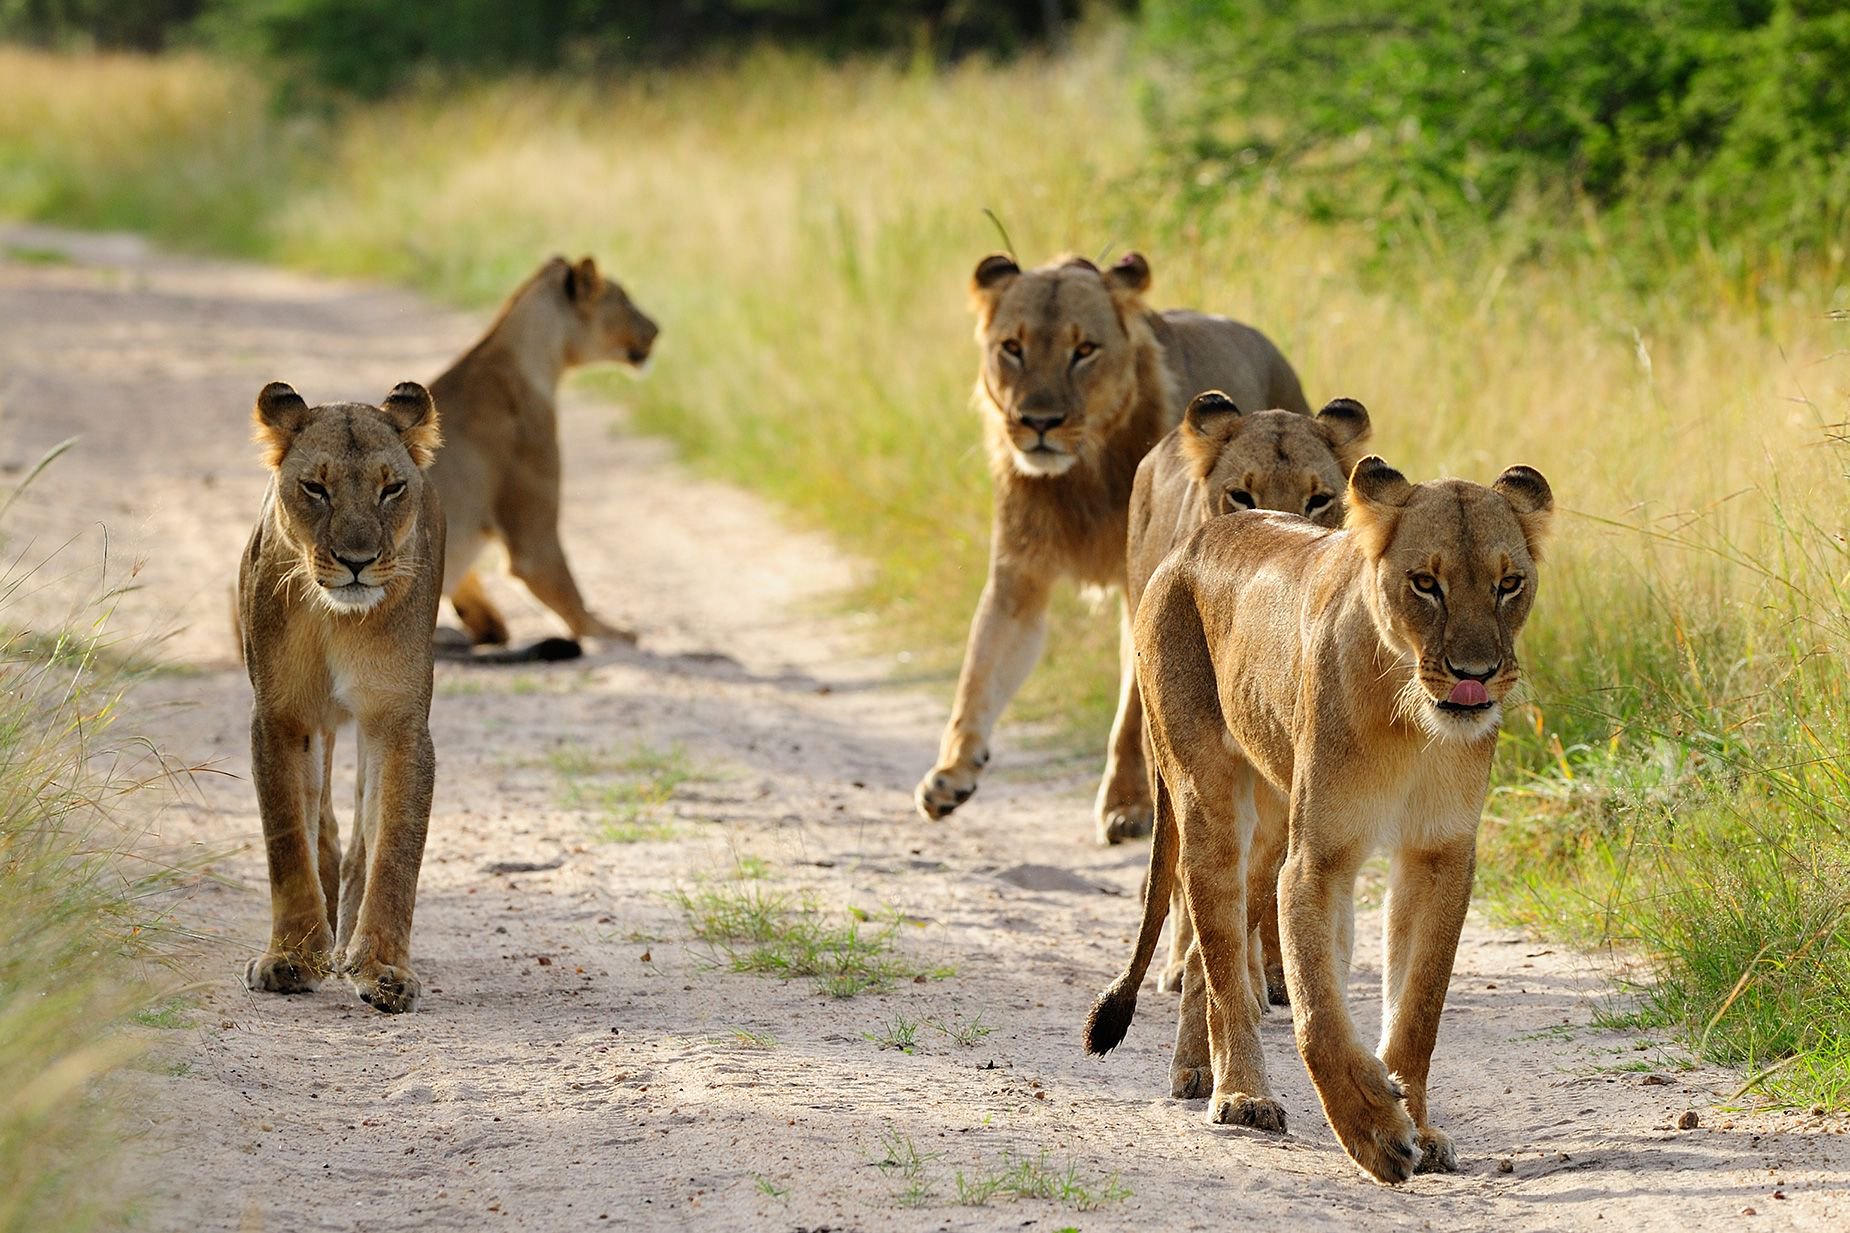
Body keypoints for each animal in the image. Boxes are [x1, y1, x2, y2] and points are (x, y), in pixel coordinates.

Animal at [238, 380, 445, 1014]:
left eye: (391, 488)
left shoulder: (398, 720)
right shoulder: (281, 716)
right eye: (315, 488)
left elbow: (396, 847)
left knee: (359, 841)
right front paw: (292, 956)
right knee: (323, 825)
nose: (357, 563)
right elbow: (287, 837)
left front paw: (381, 967)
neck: (338, 618)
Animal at [428, 255, 658, 658]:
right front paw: (609, 631)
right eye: (625, 300)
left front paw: (488, 623)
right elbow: (561, 583)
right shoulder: (534, 526)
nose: (657, 330)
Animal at [915, 251, 1309, 841]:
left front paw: (1127, 805)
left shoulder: (1141, 586)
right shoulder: (1018, 575)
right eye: (1012, 347)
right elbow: (978, 670)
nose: (1039, 422)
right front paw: (951, 773)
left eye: (1084, 350)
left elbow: (1129, 711)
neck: (1079, 474)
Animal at [1084, 456, 1553, 1184]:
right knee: (1220, 956)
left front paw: (1418, 1125)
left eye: (1510, 584)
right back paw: (1240, 1093)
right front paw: (1374, 1129)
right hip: (1208, 797)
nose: (1473, 675)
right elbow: (1317, 1012)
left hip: (1274, 821)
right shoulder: (1317, 861)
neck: (1411, 720)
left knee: (1206, 952)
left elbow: (1418, 1007)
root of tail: (1192, 542)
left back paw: (1197, 1069)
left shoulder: (1439, 853)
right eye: (1425, 583)